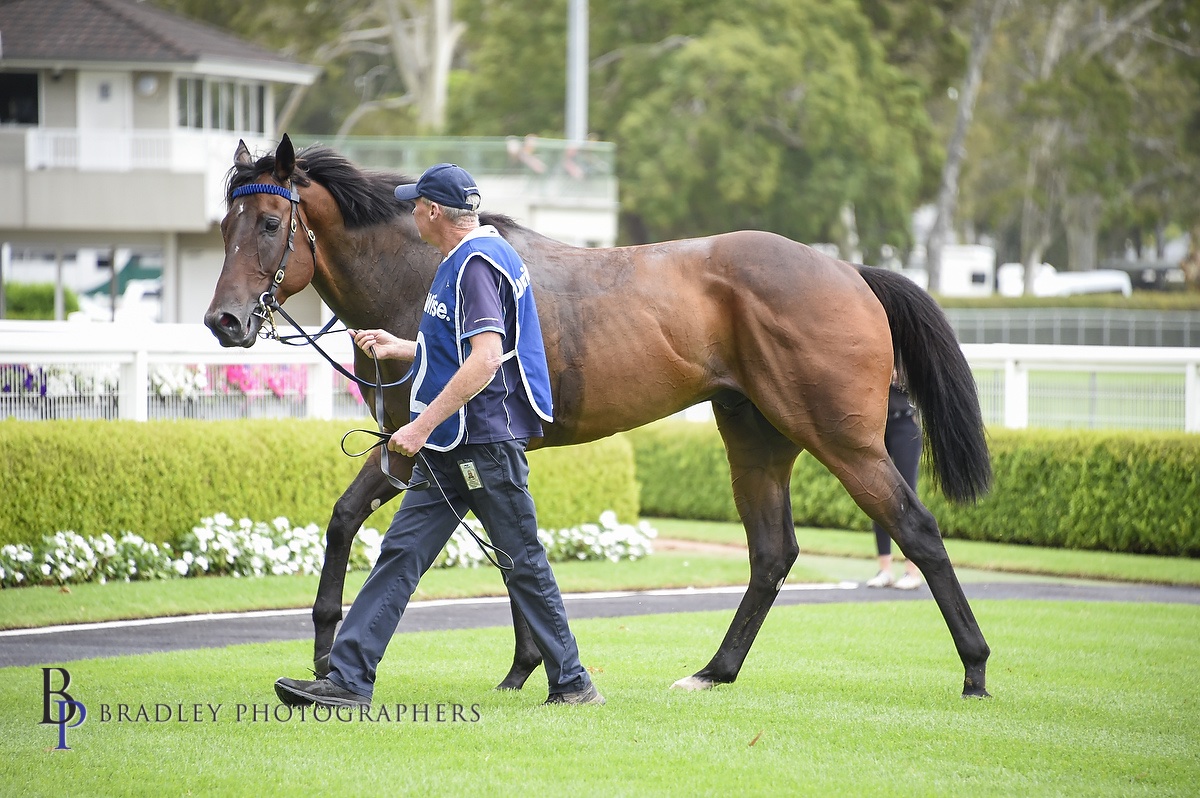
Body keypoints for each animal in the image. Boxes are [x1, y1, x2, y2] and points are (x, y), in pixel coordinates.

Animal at [206, 133, 993, 696]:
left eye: (271, 222)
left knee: (917, 530)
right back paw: (713, 672)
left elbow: (465, 541)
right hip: (754, 434)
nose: (224, 321)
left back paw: (975, 668)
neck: (422, 273)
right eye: (224, 224)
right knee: (773, 553)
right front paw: (520, 664)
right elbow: (417, 531)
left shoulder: (429, 441)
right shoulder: (435, 445)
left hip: (841, 436)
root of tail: (848, 270)